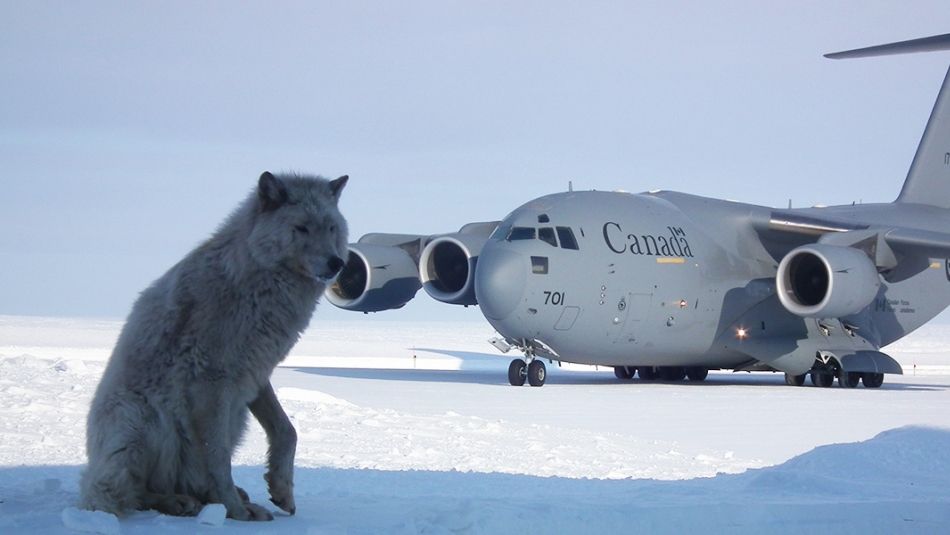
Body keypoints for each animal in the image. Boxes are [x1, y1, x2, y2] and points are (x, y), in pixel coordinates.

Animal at [80, 173, 350, 524]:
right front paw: (234, 511)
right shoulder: (212, 384)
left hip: (236, 418)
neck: (258, 286)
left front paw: (281, 490)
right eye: (302, 228)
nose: (337, 263)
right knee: (130, 492)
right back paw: (181, 502)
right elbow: (218, 458)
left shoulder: (255, 375)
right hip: (139, 418)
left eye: (331, 228)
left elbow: (287, 431)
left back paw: (221, 498)